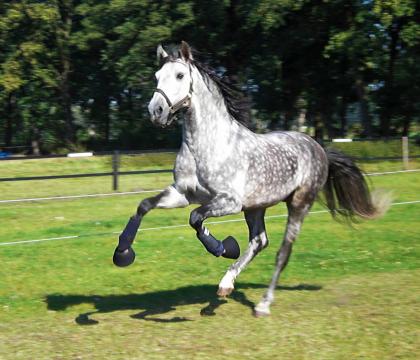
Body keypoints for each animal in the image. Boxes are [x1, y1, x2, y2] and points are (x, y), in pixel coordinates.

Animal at [113, 42, 388, 316]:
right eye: (157, 76)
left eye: (180, 75)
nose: (156, 111)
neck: (204, 147)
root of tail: (318, 147)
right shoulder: (182, 193)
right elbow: (145, 205)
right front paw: (122, 252)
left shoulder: (229, 202)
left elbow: (195, 218)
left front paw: (222, 247)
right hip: (255, 207)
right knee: (259, 241)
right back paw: (226, 284)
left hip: (298, 204)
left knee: (282, 252)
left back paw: (262, 304)